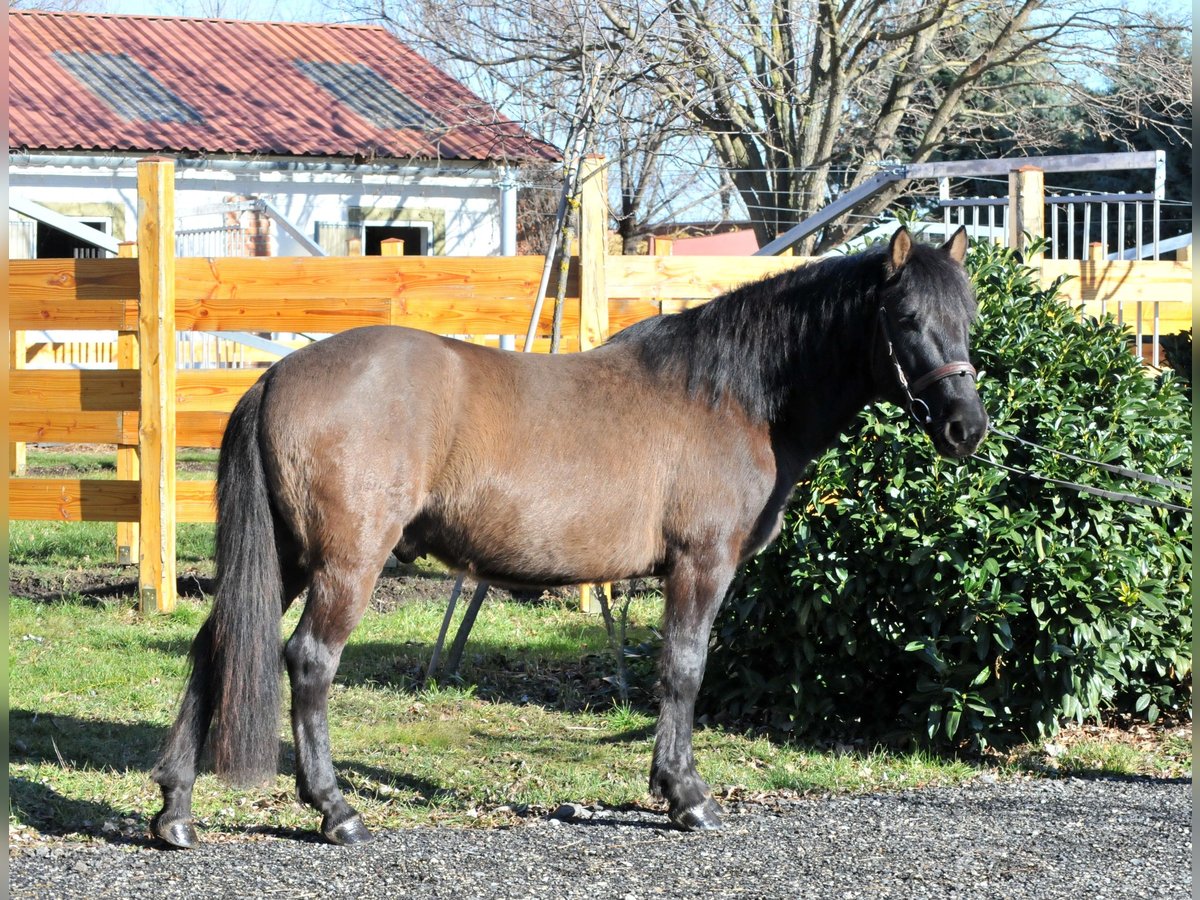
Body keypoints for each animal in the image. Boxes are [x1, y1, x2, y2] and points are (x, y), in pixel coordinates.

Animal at [150, 225, 984, 844]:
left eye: (968, 320)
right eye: (906, 320)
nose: (966, 428)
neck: (732, 396)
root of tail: (274, 377)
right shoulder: (701, 565)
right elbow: (685, 670)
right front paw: (685, 795)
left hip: (291, 557)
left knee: (216, 644)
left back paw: (175, 809)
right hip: (347, 561)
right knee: (310, 661)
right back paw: (336, 810)